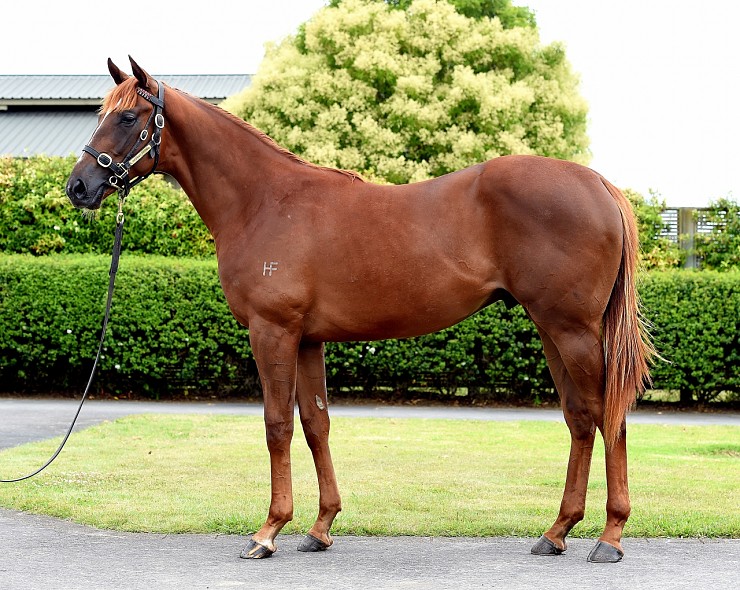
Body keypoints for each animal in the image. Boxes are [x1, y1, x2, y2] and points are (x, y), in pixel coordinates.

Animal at [65, 59, 652, 564]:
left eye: (127, 116)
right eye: (101, 113)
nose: (79, 187)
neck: (263, 201)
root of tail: (598, 184)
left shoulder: (272, 332)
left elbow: (277, 425)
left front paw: (268, 532)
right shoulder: (307, 339)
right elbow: (315, 424)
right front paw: (320, 527)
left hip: (573, 330)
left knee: (607, 415)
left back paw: (610, 536)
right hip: (552, 329)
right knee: (580, 419)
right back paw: (556, 532)